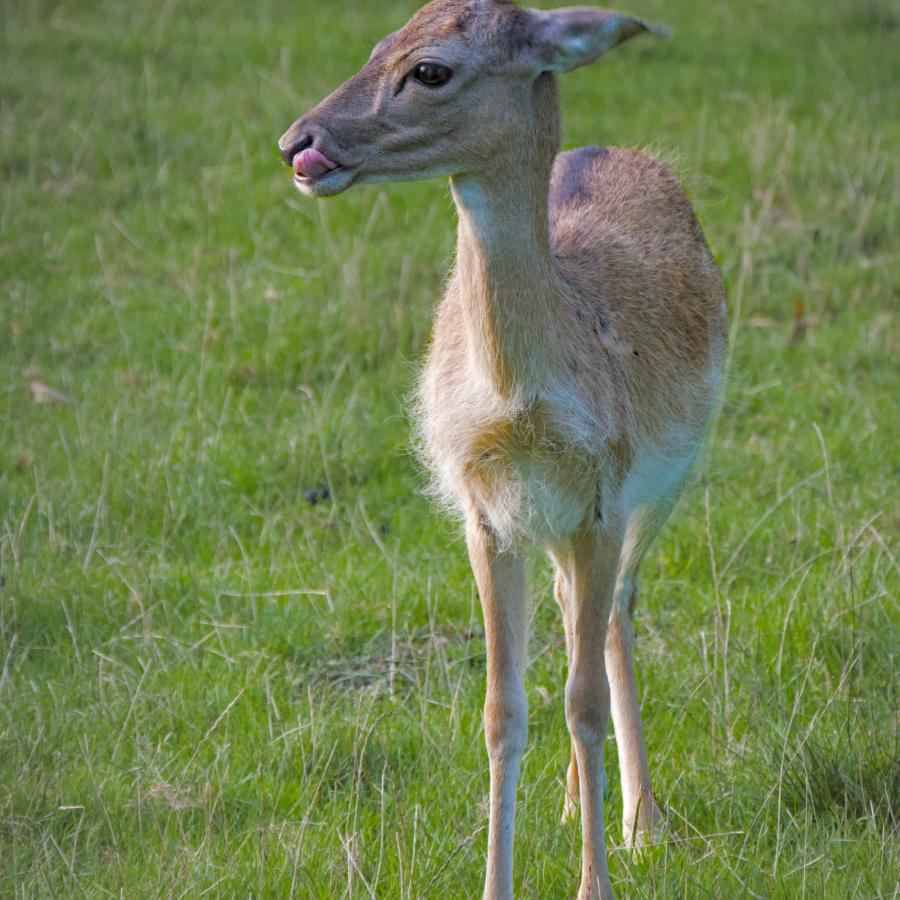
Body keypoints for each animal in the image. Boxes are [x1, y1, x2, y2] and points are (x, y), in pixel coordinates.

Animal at [278, 1, 726, 897]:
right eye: (376, 43)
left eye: (430, 69)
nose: (297, 141)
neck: (518, 400)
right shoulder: (482, 509)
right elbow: (501, 710)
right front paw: (499, 880)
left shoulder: (601, 493)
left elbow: (582, 700)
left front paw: (597, 880)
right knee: (574, 609)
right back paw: (574, 802)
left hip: (667, 479)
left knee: (616, 612)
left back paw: (642, 820)